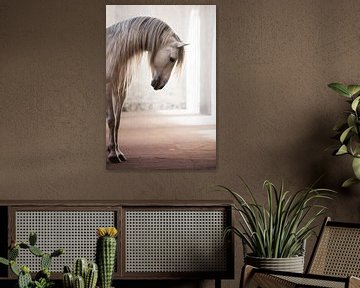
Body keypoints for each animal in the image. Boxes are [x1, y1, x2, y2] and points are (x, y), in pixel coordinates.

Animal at [105, 16, 187, 163]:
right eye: (172, 59)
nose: (160, 85)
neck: (112, 50)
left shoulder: (120, 90)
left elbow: (117, 121)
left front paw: (117, 152)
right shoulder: (108, 87)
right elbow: (111, 120)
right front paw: (113, 155)